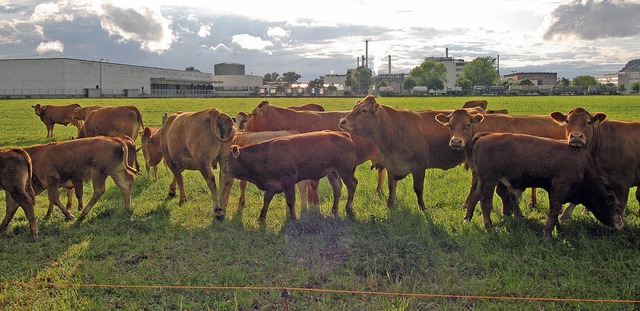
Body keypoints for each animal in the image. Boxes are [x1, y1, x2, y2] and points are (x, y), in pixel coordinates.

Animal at [222, 130, 358, 221]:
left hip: (345, 172)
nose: (223, 171)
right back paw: (334, 210)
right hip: (332, 173)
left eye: (227, 160)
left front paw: (293, 218)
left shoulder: (289, 183)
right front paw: (261, 216)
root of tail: (344, 135)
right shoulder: (271, 184)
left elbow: (290, 201)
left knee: (352, 185)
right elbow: (266, 200)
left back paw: (348, 208)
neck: (266, 156)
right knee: (337, 188)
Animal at [468, 132, 624, 236]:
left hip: (483, 180)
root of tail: (485, 136)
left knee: (474, 196)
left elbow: (556, 212)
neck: (583, 166)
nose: (621, 224)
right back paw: (488, 226)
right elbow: (554, 210)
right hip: (489, 179)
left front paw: (558, 228)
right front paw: (547, 232)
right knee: (485, 201)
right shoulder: (559, 188)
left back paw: (467, 219)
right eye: (617, 208)